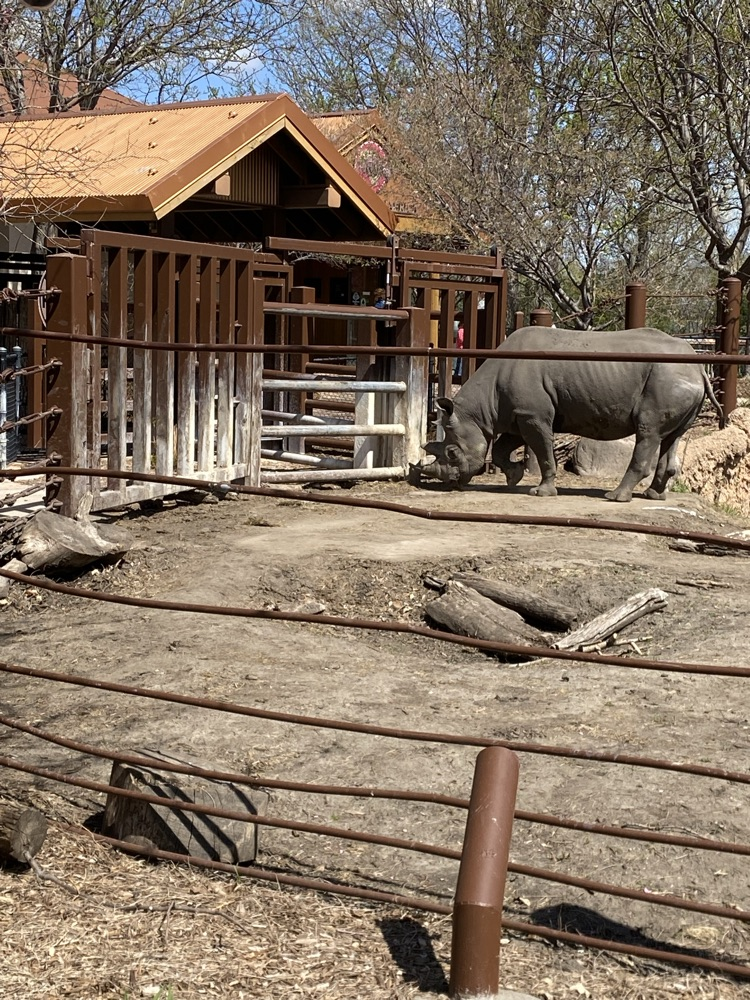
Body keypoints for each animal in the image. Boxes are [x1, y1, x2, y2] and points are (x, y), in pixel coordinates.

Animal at [418, 326, 721, 502]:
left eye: (452, 453)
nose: (450, 483)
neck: (477, 410)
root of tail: (700, 368)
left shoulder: (533, 415)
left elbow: (543, 453)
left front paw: (541, 492)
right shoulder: (518, 414)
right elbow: (503, 448)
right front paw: (514, 477)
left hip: (667, 378)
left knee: (649, 432)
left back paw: (615, 497)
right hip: (676, 379)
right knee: (672, 436)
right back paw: (653, 496)